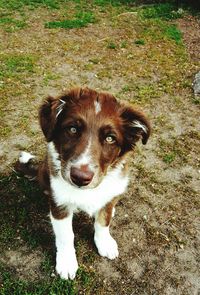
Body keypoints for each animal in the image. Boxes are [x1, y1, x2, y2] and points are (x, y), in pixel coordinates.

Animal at [15, 87, 150, 280]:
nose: (80, 178)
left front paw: (104, 242)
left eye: (110, 138)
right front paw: (66, 262)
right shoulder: (61, 205)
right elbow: (65, 236)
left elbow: (103, 222)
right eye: (72, 129)